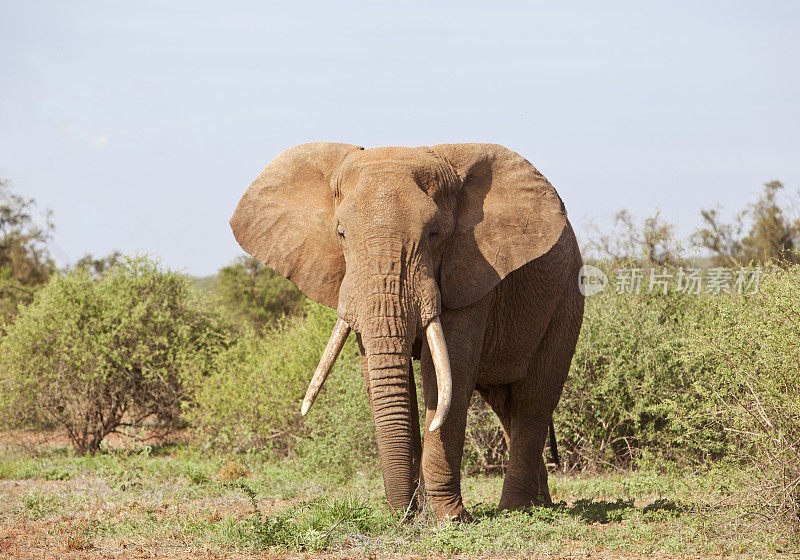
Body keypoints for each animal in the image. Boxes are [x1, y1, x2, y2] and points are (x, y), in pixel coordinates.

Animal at [228, 141, 584, 520]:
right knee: (506, 404)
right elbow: (383, 374)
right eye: (340, 233)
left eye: (434, 233)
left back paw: (518, 509)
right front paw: (418, 515)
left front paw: (446, 519)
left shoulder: (472, 267)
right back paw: (537, 505)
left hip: (567, 295)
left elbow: (445, 373)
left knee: (534, 397)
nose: (404, 515)